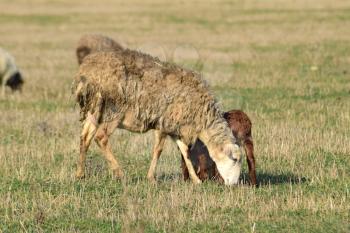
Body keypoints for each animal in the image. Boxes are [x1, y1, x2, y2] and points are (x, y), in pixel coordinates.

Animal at [73, 49, 243, 186]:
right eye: (235, 159)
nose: (234, 184)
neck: (203, 119)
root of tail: (86, 73)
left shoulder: (176, 128)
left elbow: (185, 153)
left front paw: (196, 180)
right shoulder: (164, 123)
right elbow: (158, 150)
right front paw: (151, 178)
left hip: (94, 111)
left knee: (85, 137)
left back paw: (80, 174)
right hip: (113, 110)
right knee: (100, 137)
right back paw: (120, 174)